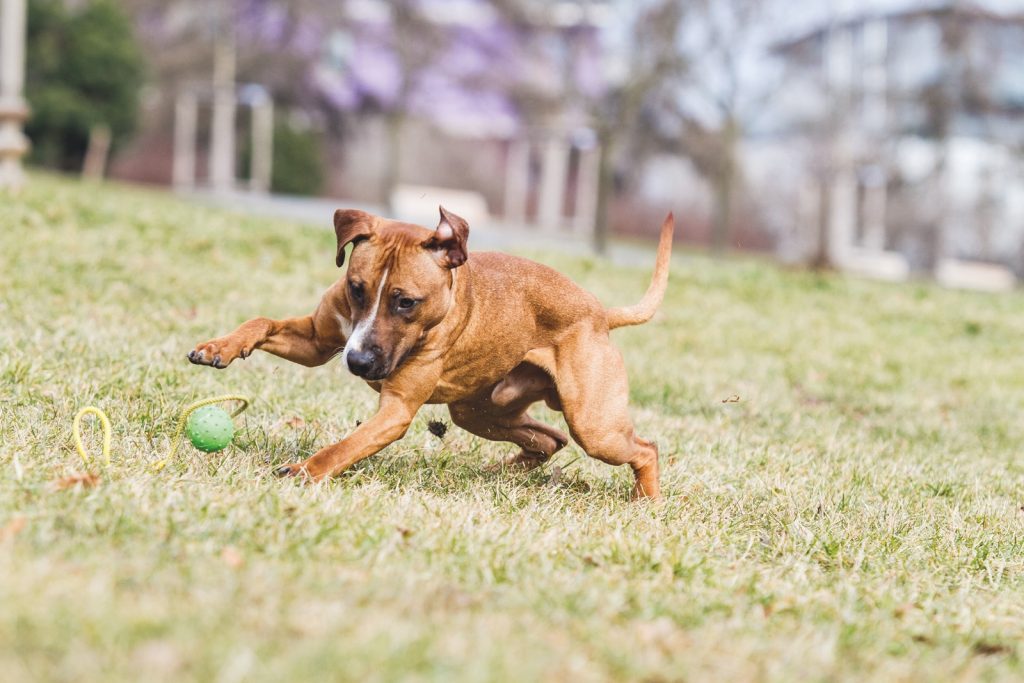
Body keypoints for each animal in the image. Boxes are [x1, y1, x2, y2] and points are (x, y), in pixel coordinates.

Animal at [190, 206, 671, 497]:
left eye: (406, 302)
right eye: (356, 288)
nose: (358, 362)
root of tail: (600, 313)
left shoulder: (395, 410)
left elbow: (344, 447)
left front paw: (304, 472)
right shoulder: (317, 341)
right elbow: (260, 323)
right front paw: (219, 347)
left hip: (595, 425)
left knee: (643, 449)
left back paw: (646, 503)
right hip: (479, 411)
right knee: (550, 439)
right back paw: (502, 473)